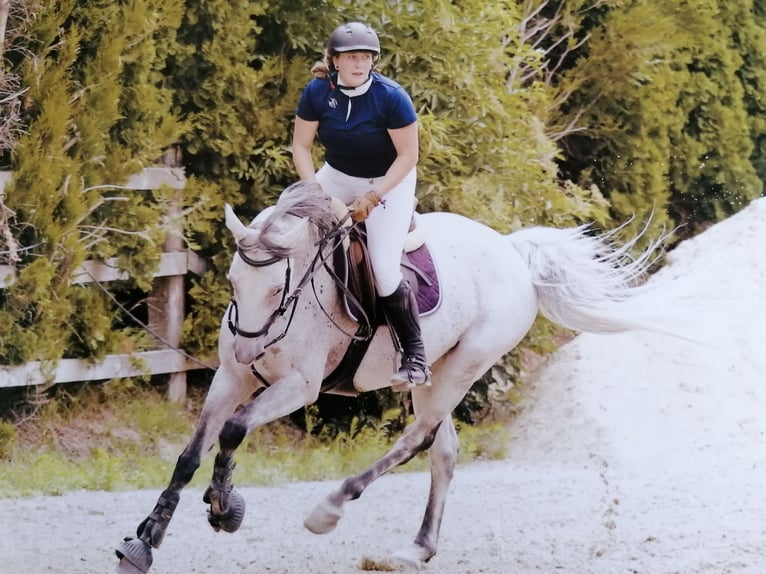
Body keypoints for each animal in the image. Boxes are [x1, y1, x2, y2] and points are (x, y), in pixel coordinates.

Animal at [117, 179, 692, 572]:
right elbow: (191, 454)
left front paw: (223, 506)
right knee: (444, 449)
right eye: (234, 281)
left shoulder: (297, 387)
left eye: (278, 287)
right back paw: (418, 548)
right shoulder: (232, 379)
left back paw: (330, 508)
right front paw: (145, 541)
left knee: (418, 439)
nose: (248, 347)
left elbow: (235, 429)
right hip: (436, 372)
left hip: (464, 366)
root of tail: (511, 251)